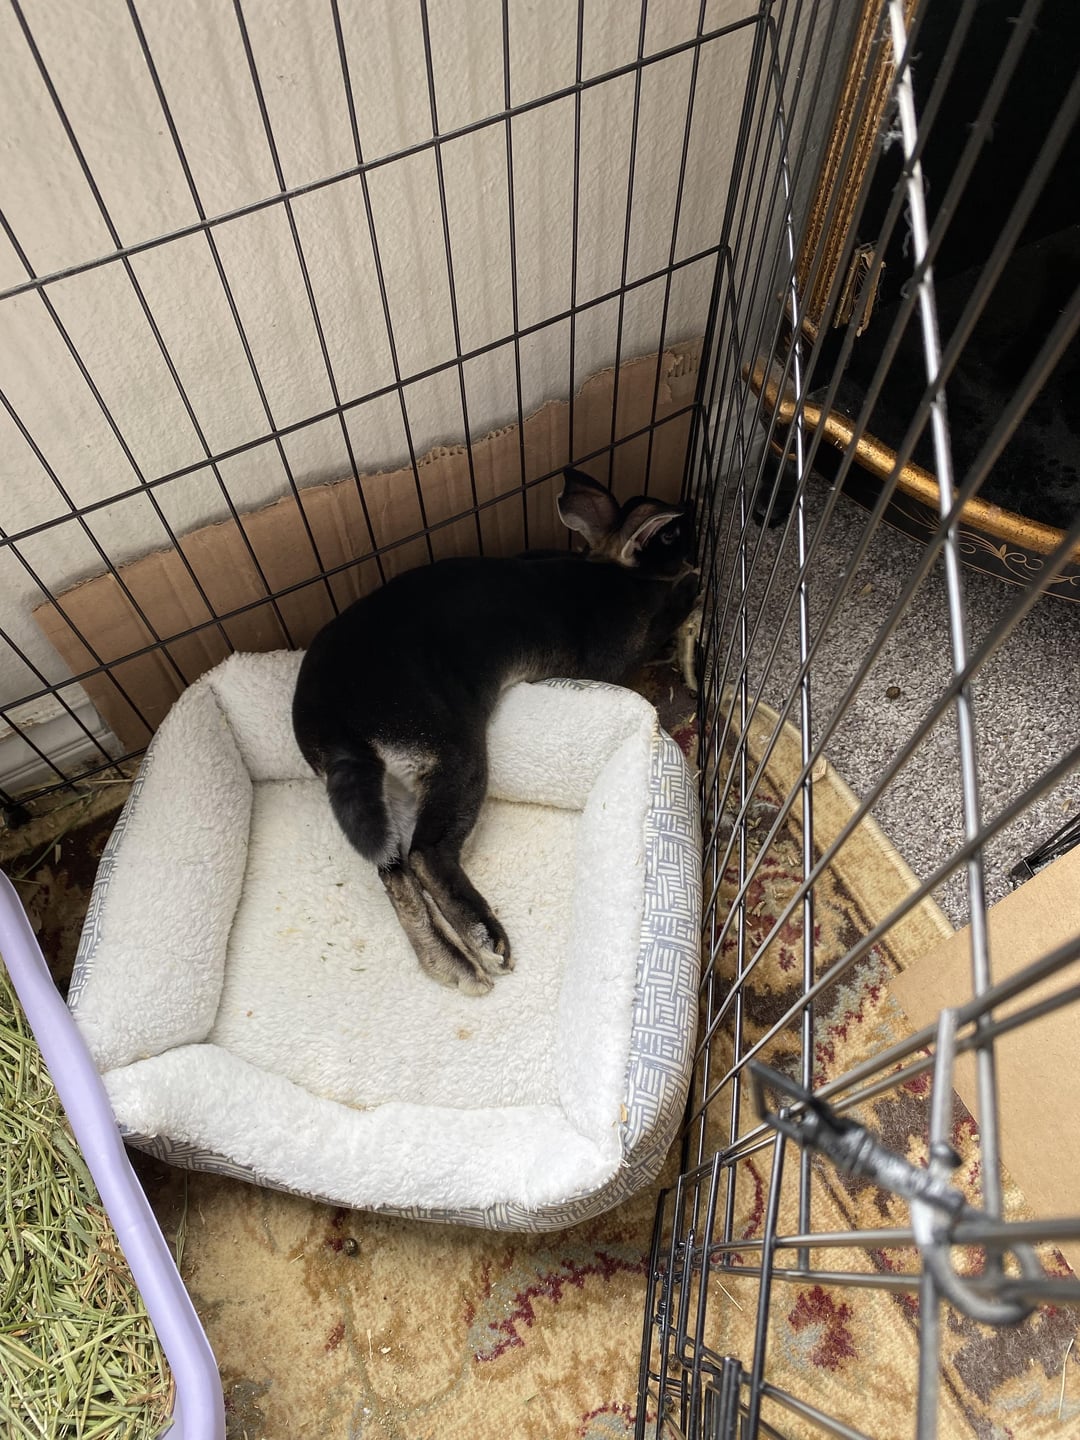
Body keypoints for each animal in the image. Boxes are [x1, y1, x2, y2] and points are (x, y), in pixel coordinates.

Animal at [292, 467, 699, 996]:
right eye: (670, 534)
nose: (695, 513)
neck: (616, 572)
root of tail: (336, 728)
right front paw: (693, 586)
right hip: (453, 754)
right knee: (425, 854)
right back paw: (486, 941)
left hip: (389, 793)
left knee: (394, 871)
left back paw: (452, 967)